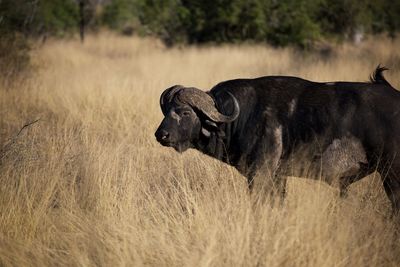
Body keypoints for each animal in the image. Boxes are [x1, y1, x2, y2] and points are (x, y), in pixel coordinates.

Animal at [155, 67, 400, 214]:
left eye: (185, 112)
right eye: (166, 111)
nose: (161, 135)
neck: (244, 115)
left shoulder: (260, 175)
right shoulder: (278, 178)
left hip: (391, 173)